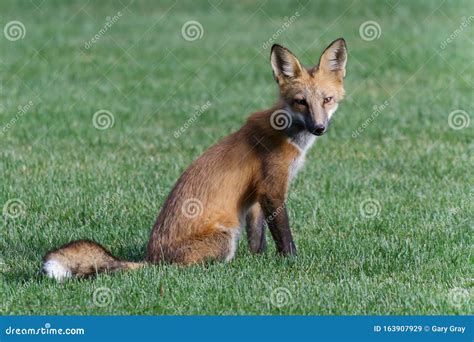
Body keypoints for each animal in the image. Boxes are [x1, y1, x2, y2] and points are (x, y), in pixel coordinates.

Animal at [42, 39, 346, 280]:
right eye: (300, 102)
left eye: (327, 100)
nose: (319, 128)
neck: (288, 134)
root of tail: (153, 260)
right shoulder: (273, 190)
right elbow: (285, 238)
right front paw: (290, 262)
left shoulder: (257, 194)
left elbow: (257, 240)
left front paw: (259, 261)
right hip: (225, 238)